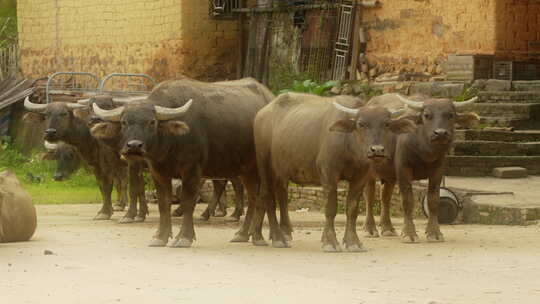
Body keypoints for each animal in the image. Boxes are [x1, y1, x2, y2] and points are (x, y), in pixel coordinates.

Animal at [90, 77, 274, 248]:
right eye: (124, 122)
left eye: (152, 122)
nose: (134, 146)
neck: (171, 142)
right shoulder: (158, 172)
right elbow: (163, 203)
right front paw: (160, 237)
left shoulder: (191, 170)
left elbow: (187, 202)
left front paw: (184, 237)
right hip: (247, 170)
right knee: (253, 198)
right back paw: (243, 234)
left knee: (264, 197)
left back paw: (262, 236)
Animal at [247, 93, 416, 252]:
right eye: (361, 124)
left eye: (386, 124)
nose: (377, 150)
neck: (349, 146)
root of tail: (261, 114)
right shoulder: (328, 175)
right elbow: (330, 208)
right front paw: (330, 242)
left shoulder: (360, 178)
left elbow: (352, 210)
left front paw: (353, 242)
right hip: (266, 167)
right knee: (267, 196)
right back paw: (277, 238)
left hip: (281, 172)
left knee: (280, 196)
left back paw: (274, 234)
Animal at [362, 92, 476, 242]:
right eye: (427, 115)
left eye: (450, 115)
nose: (440, 133)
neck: (424, 151)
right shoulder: (403, 169)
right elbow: (407, 201)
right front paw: (409, 233)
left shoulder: (438, 171)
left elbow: (433, 200)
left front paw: (434, 233)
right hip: (370, 170)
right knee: (369, 196)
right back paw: (370, 229)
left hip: (390, 175)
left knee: (385, 197)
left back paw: (388, 229)